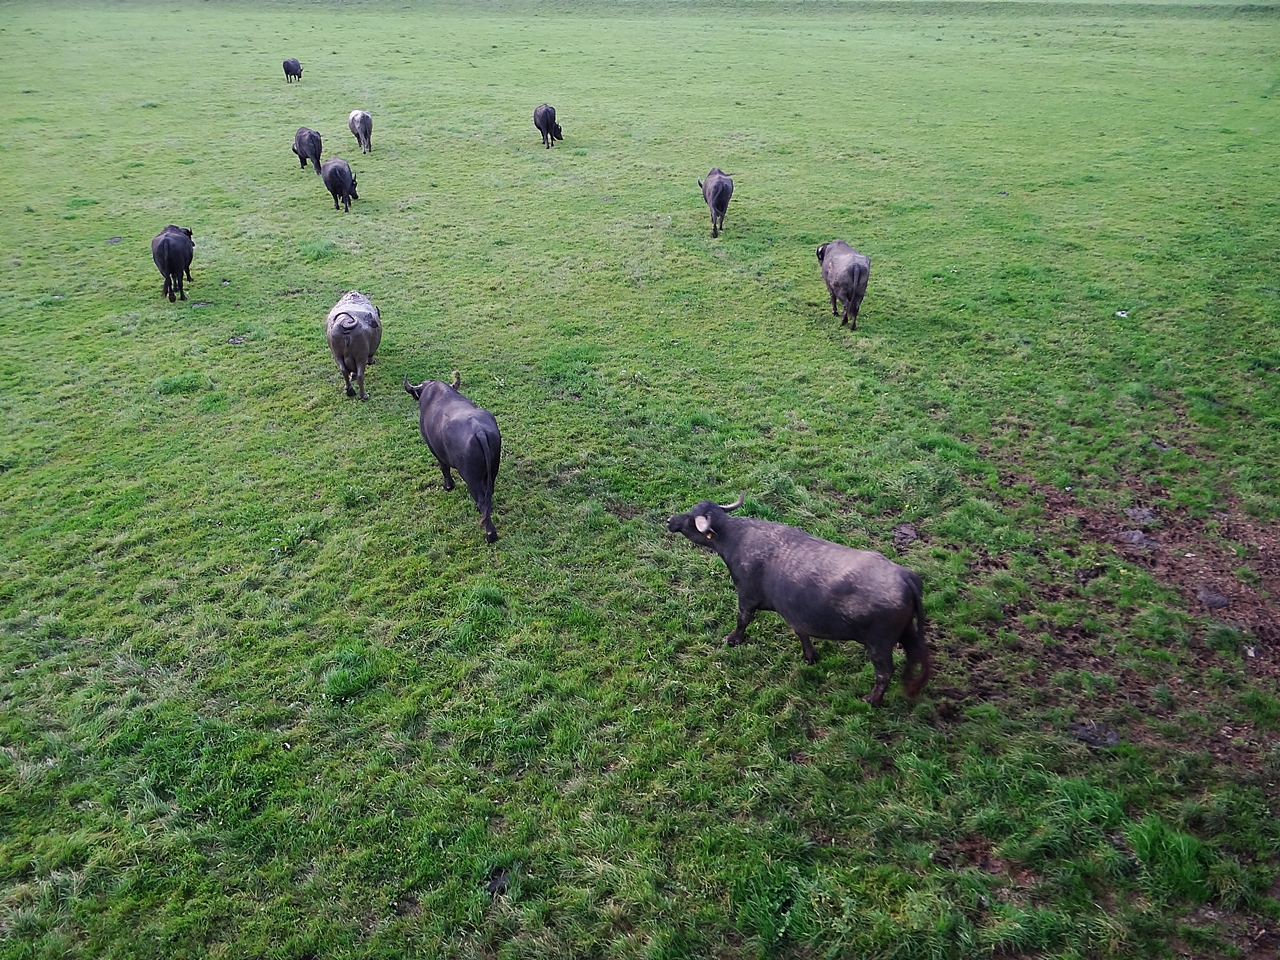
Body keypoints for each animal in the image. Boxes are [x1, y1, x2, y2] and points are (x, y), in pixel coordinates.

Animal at [404, 371, 499, 545]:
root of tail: (479, 431)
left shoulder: (435, 450)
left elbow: (444, 467)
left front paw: (448, 486)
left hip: (472, 479)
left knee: (482, 500)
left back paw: (490, 535)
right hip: (492, 470)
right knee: (488, 496)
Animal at [670, 496, 931, 706]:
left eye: (690, 517)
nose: (670, 520)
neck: (737, 538)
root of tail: (905, 576)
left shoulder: (747, 596)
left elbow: (742, 620)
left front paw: (732, 640)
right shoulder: (795, 611)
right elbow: (801, 631)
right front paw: (810, 656)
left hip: (879, 644)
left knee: (884, 672)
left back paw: (872, 700)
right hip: (907, 631)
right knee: (914, 654)